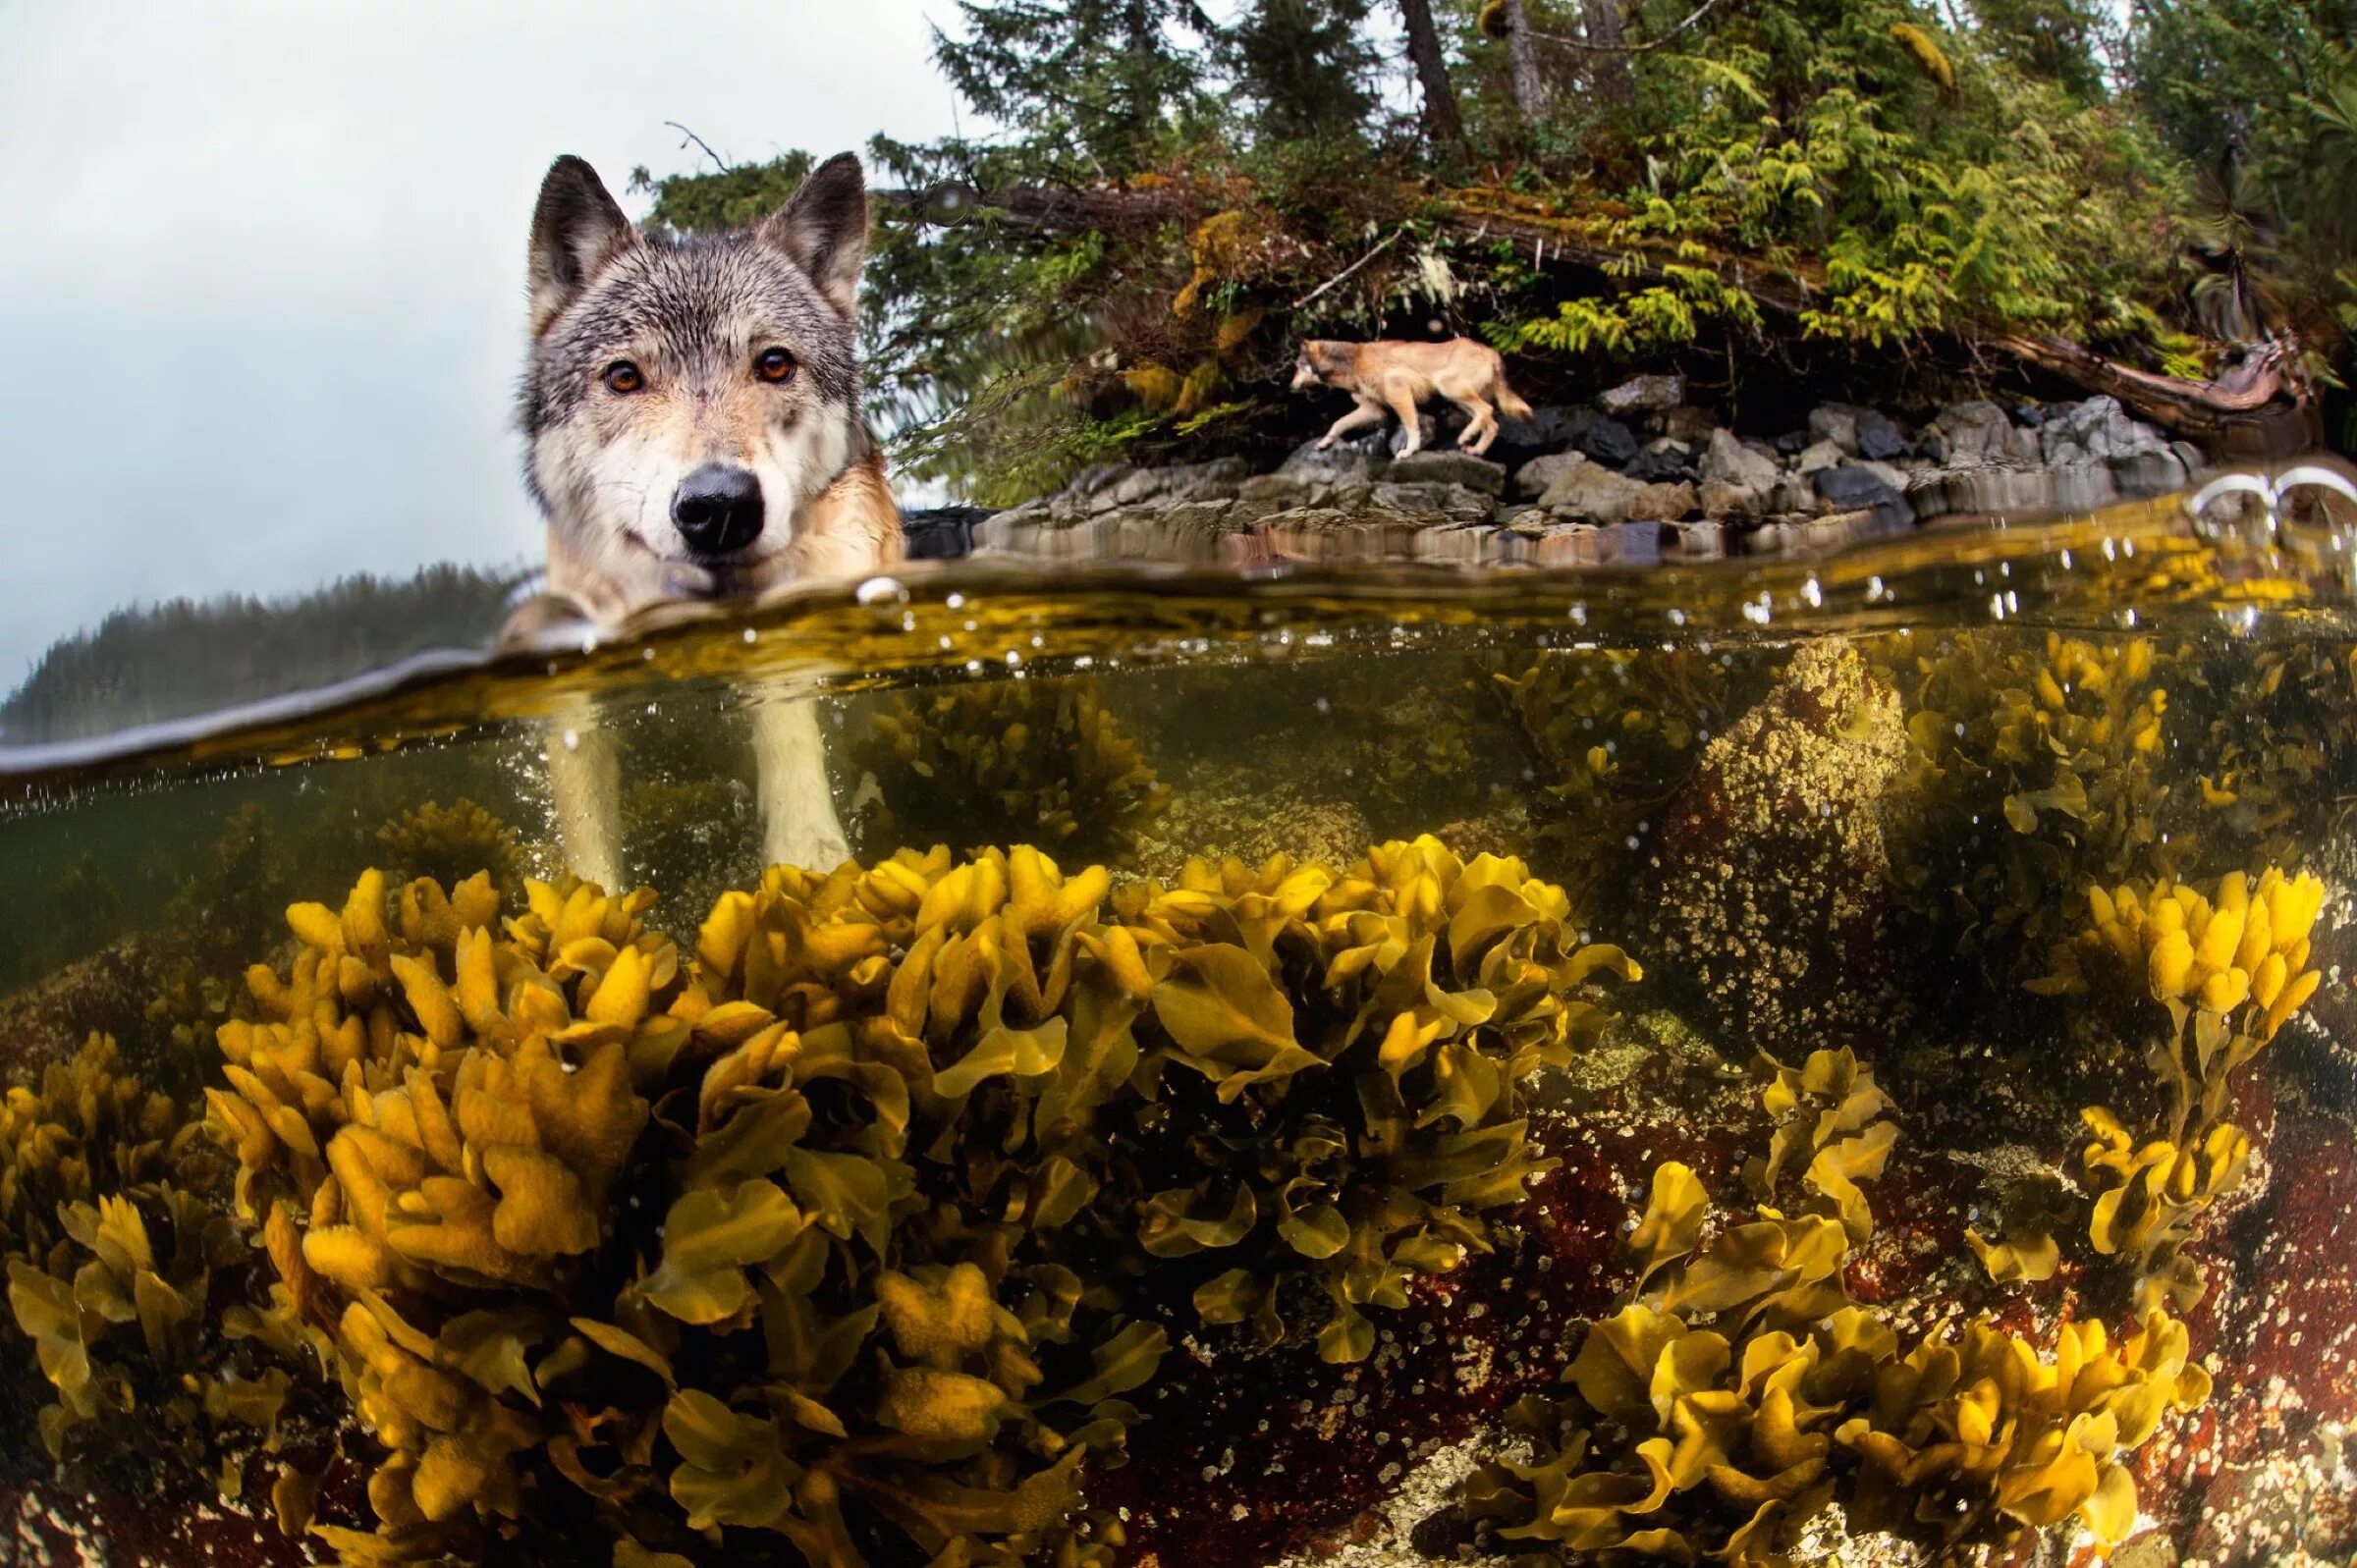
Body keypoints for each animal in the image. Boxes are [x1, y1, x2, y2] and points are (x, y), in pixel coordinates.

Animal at [1282, 337, 1536, 455]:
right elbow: (1338, 424)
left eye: (1298, 366)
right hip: (1457, 399)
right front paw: (1324, 443)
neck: (1353, 362)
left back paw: (1465, 437)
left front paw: (1408, 451)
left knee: (1487, 411)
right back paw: (1476, 450)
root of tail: (1492, 352)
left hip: (1449, 388)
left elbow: (1411, 427)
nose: (1290, 387)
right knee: (1492, 423)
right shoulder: (1372, 409)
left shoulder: (1399, 394)